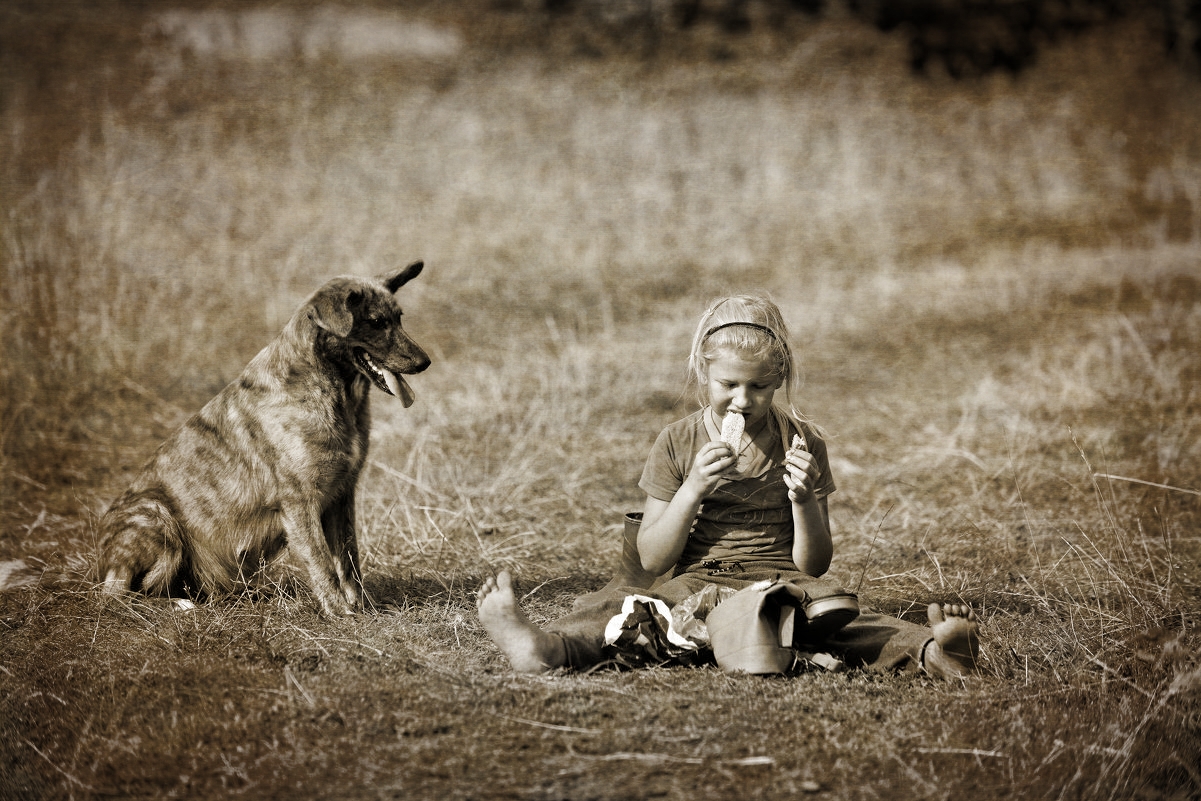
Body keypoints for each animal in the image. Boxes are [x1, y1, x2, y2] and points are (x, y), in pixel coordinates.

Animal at [97, 260, 432, 619]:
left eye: (399, 318)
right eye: (376, 322)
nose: (424, 362)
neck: (331, 391)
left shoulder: (342, 497)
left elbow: (349, 560)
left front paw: (362, 606)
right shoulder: (300, 502)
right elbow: (322, 563)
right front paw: (339, 612)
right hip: (156, 516)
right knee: (122, 594)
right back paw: (177, 604)